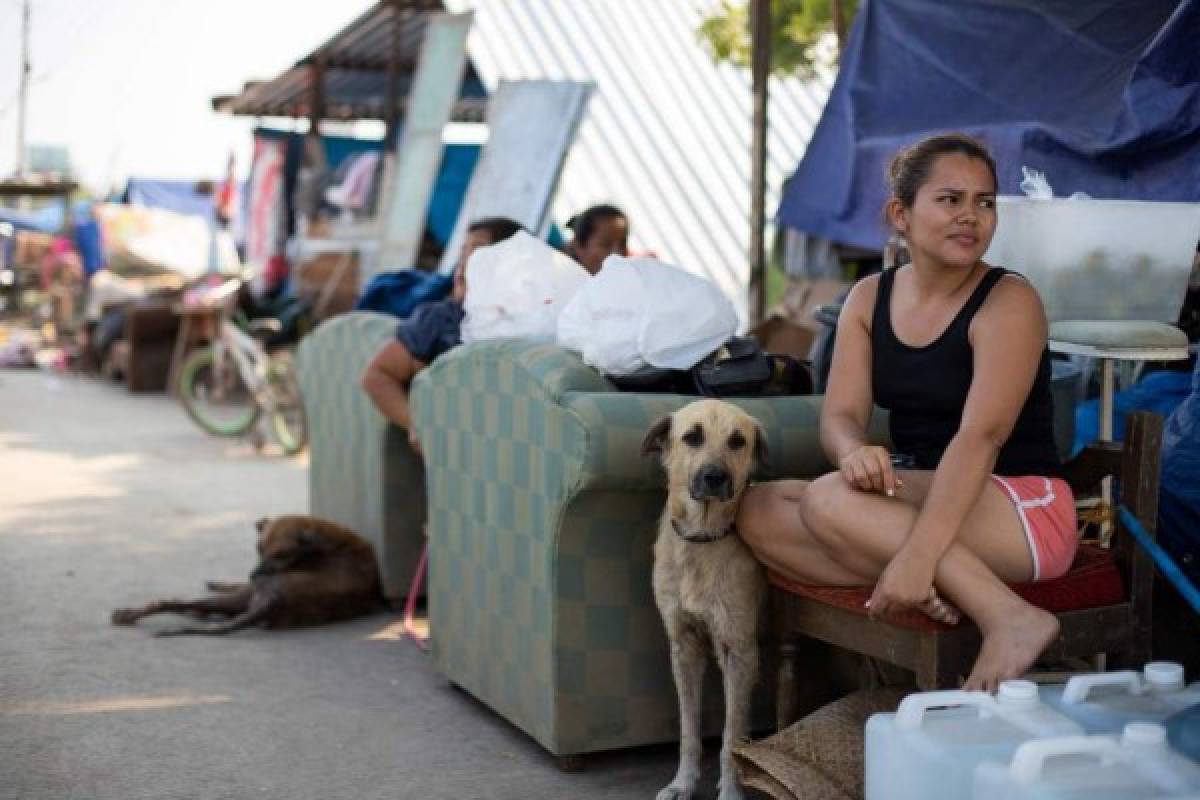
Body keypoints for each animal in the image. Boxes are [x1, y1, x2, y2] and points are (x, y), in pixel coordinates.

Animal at [111, 513, 379, 638]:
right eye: (258, 548)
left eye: (282, 554)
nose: (253, 575)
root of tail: (273, 601)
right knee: (198, 609)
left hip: (244, 597)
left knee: (173, 603)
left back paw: (130, 613)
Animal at [648, 398, 768, 800]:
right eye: (692, 437)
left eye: (737, 441)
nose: (714, 477)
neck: (701, 541)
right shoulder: (684, 645)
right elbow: (689, 729)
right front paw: (682, 783)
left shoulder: (739, 651)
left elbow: (733, 736)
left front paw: (731, 790)